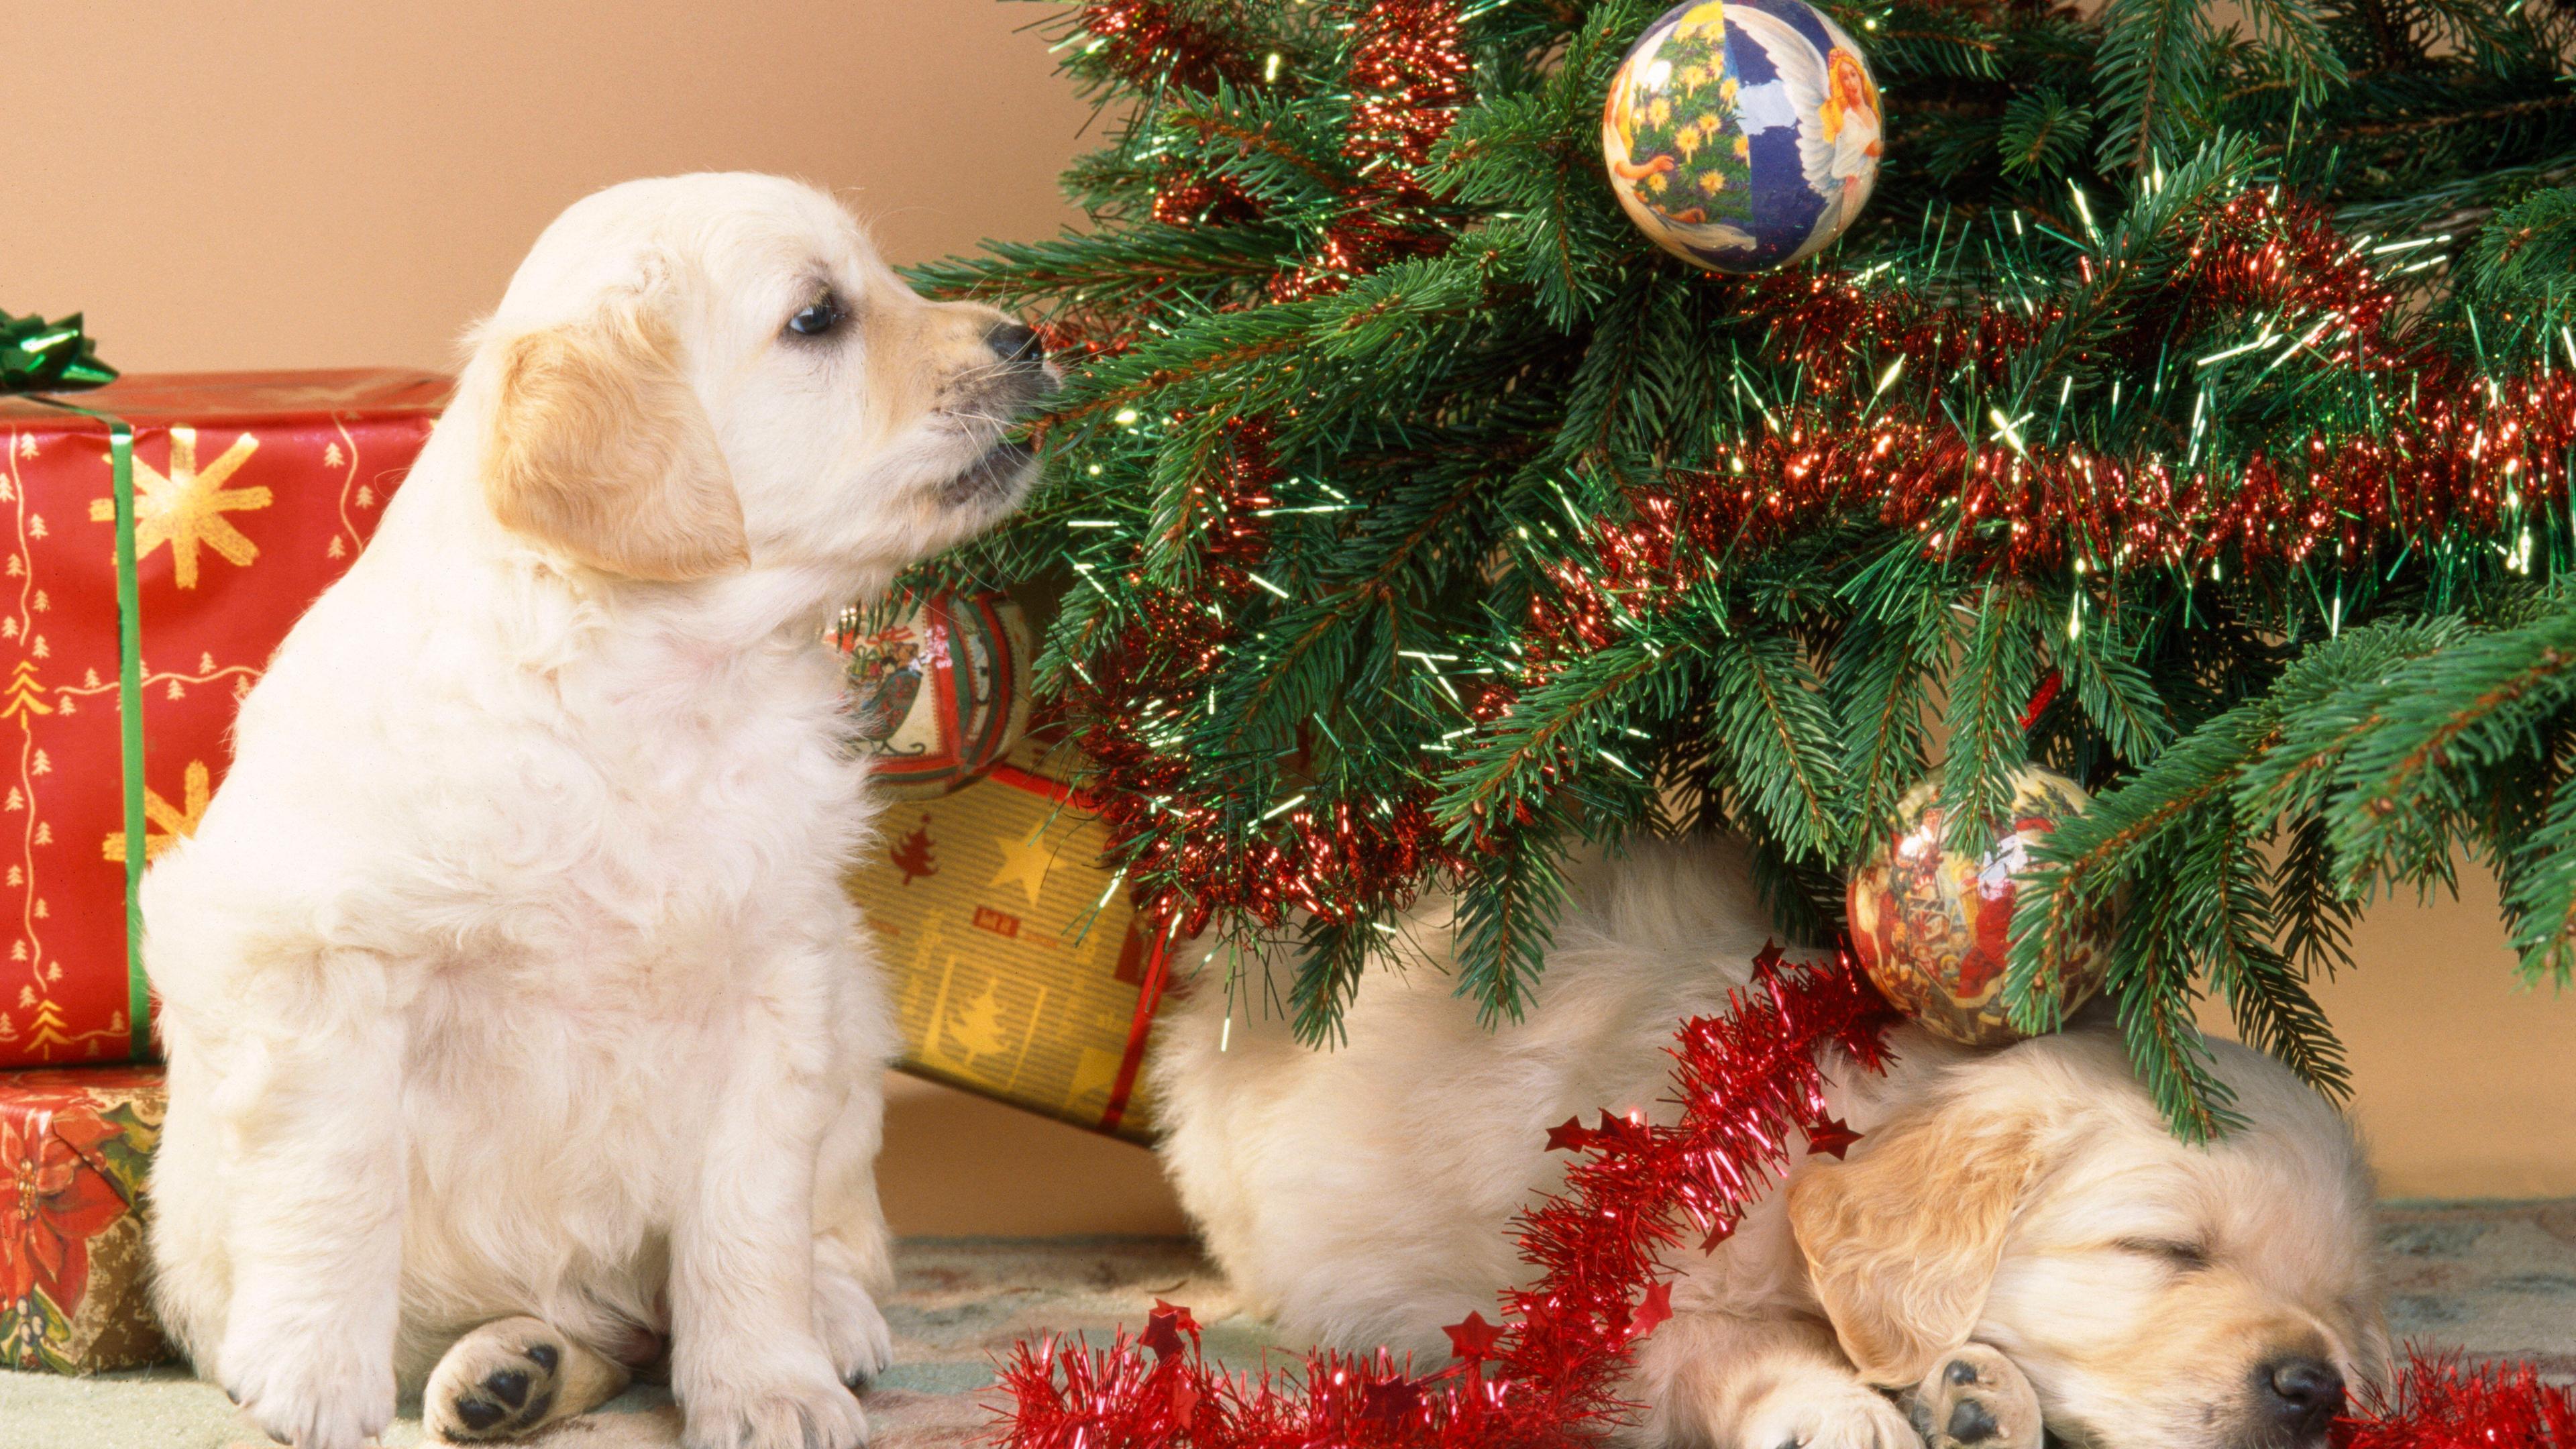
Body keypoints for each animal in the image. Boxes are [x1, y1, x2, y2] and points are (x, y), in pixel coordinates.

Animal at [136, 175, 1046, 1444]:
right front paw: (313, 1369)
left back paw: (818, 1323)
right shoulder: (316, 963)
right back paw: (504, 1370)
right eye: (818, 318)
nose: (1033, 339)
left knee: (819, 1245)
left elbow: (749, 1219)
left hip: (857, 1026)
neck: (647, 692)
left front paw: (769, 1385)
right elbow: (338, 1177)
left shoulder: (776, 986)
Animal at [1154, 830, 2390, 1444]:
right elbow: (1735, 1349)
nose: (2315, 1394)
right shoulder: (1606, 1309)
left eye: (2339, 1300)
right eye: (2165, 1250)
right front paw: (1848, 1412)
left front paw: (1973, 1393)